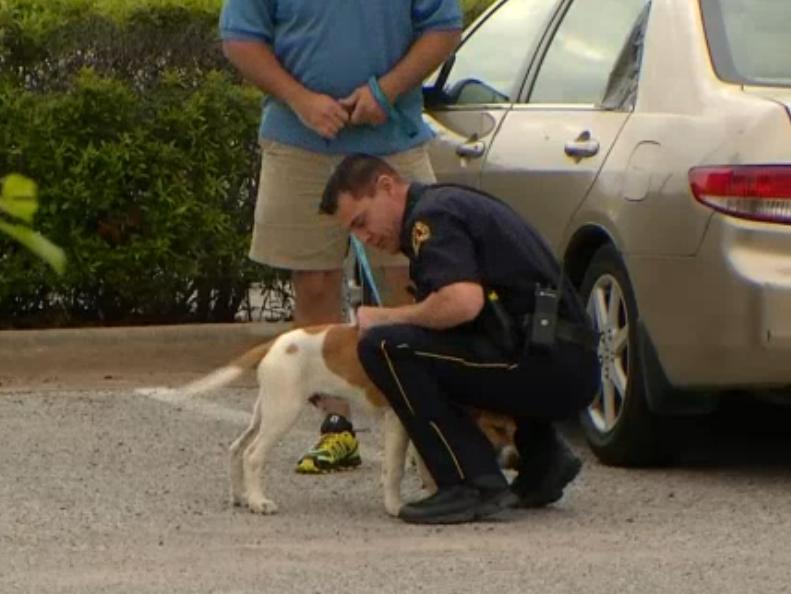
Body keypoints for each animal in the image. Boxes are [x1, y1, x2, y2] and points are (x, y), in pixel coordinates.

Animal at [153, 322, 520, 516]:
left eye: (515, 428)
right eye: (498, 427)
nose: (516, 459)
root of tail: (275, 343)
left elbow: (427, 464)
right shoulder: (396, 422)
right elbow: (395, 469)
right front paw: (395, 506)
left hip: (264, 411)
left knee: (235, 448)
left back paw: (241, 496)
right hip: (282, 413)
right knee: (253, 455)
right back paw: (259, 502)